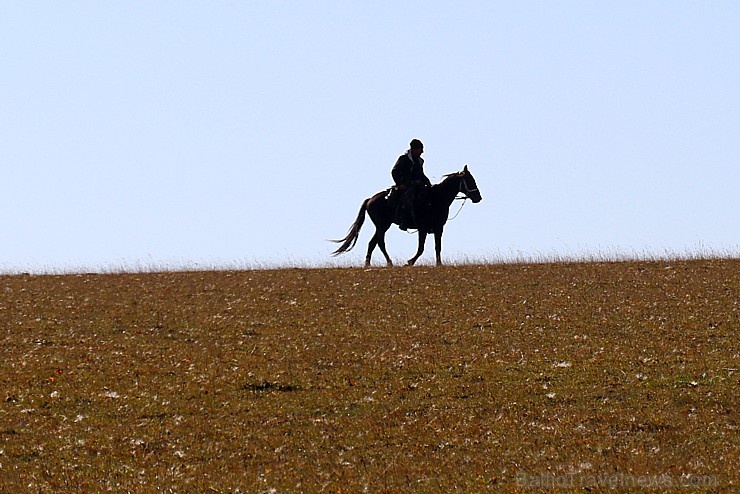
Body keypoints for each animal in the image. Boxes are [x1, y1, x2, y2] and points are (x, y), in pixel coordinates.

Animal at [332, 166, 482, 266]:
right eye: (469, 180)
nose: (478, 197)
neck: (435, 199)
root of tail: (370, 199)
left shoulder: (439, 228)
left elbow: (437, 246)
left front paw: (439, 264)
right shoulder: (423, 228)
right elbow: (421, 248)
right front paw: (410, 262)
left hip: (383, 225)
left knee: (372, 242)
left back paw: (368, 264)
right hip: (382, 225)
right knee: (380, 242)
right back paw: (389, 262)